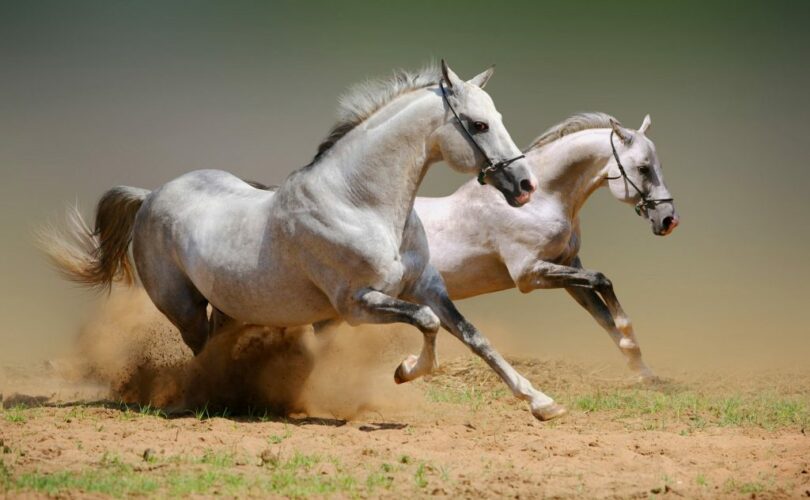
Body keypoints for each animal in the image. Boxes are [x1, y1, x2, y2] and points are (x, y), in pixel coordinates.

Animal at [39, 62, 568, 422]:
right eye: (478, 124)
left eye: (496, 116)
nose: (524, 185)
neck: (360, 203)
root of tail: (150, 196)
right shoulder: (356, 304)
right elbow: (428, 324)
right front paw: (404, 371)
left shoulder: (426, 286)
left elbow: (473, 336)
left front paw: (542, 402)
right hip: (183, 307)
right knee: (200, 351)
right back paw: (209, 398)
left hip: (230, 305)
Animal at [416, 111, 676, 380]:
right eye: (643, 169)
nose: (668, 220)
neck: (538, 201)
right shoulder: (529, 274)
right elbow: (601, 280)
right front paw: (629, 338)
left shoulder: (568, 266)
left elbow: (602, 314)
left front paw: (644, 372)